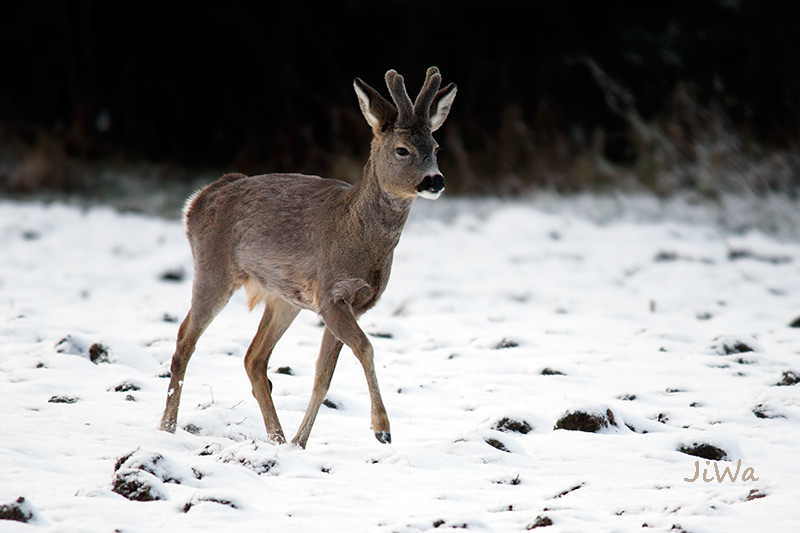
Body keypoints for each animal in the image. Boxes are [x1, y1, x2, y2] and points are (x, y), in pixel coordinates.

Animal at [158, 67, 456, 448]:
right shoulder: (332, 294)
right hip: (213, 268)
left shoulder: (353, 304)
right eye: (402, 149)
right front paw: (382, 429)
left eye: (435, 147)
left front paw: (301, 442)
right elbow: (366, 348)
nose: (436, 181)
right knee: (185, 341)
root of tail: (197, 200)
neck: (356, 233)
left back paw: (278, 438)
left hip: (284, 298)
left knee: (254, 358)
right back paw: (167, 428)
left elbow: (323, 374)